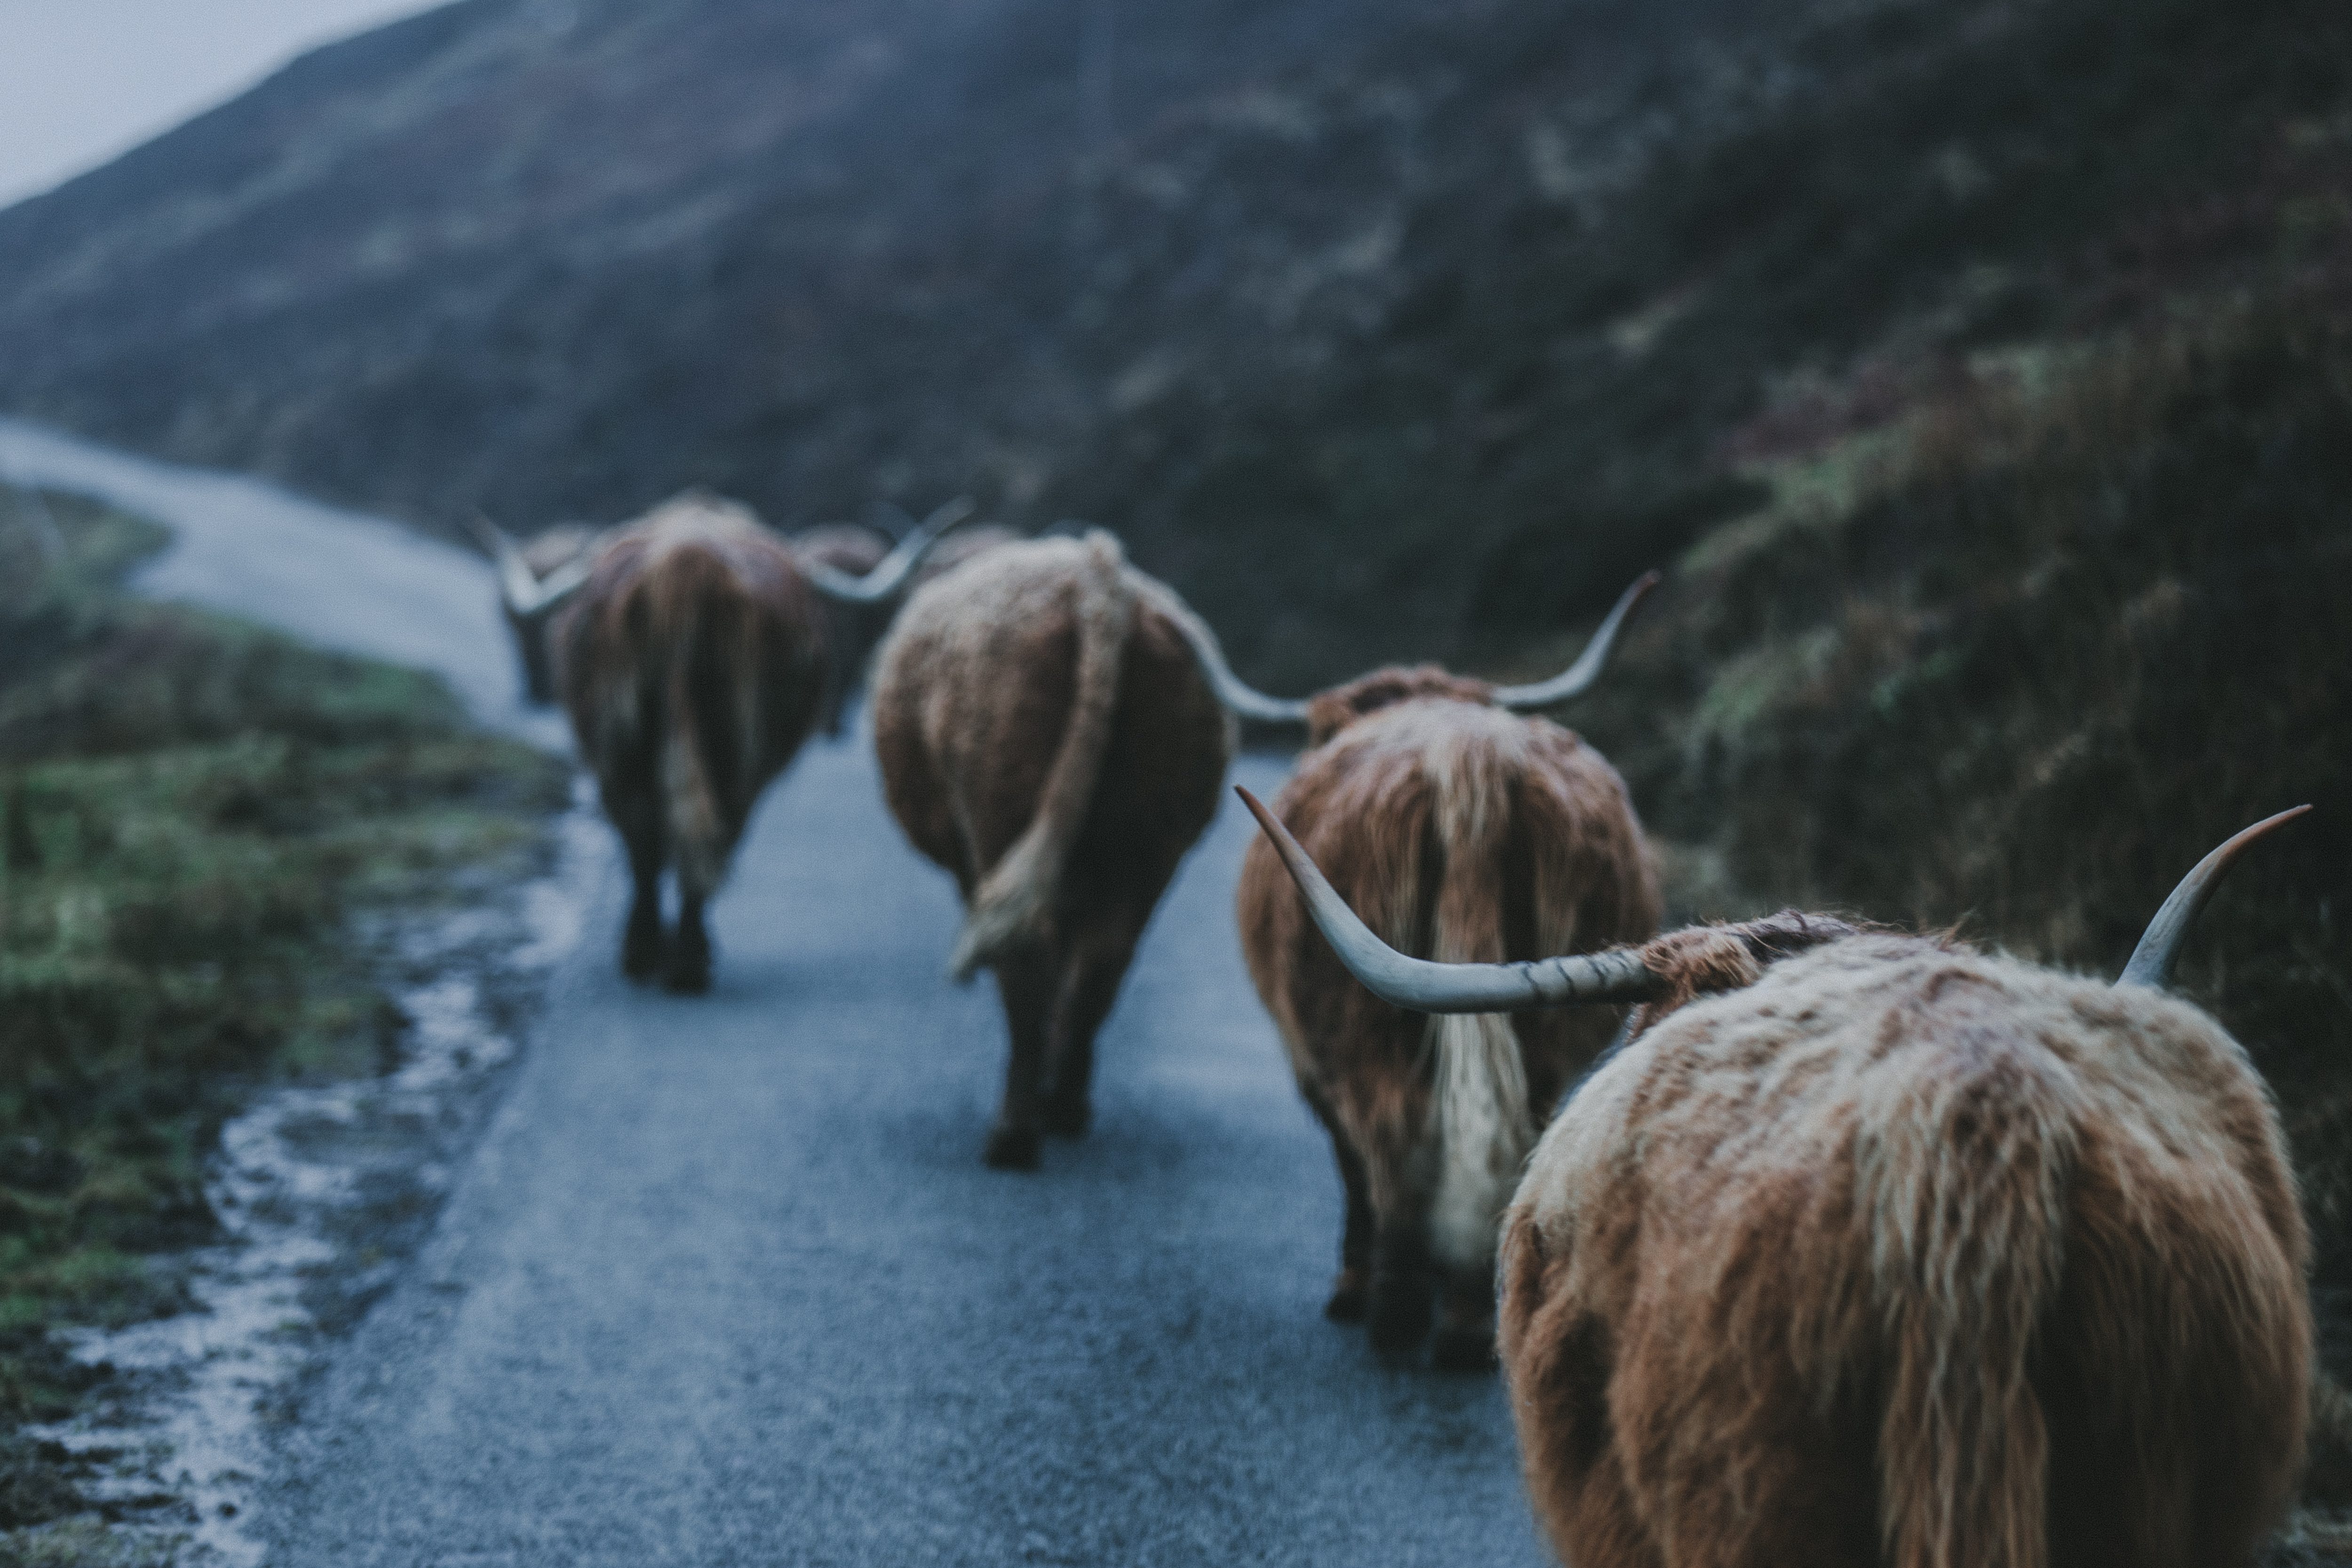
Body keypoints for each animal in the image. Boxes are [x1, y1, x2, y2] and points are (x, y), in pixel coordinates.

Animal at [550, 496, 955, 992]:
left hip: (633, 750)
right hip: (709, 751)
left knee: (658, 837)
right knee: (680, 834)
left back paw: (663, 956)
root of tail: (687, 563)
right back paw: (678, 958)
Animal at [870, 533, 1232, 1170]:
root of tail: (1094, 578)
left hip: (1001, 816)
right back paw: (1064, 1106)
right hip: (1150, 846)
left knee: (1025, 960)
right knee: (1102, 963)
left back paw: (1014, 1132)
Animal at [1185, 573, 1665, 1363]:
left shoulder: (1308, 1054)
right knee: (1514, 1126)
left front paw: (1353, 1288)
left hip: (1360, 1015)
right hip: (1542, 1021)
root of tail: (1467, 753)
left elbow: (1351, 1158)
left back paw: (1398, 1307)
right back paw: (1467, 1313)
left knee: (1387, 1130)